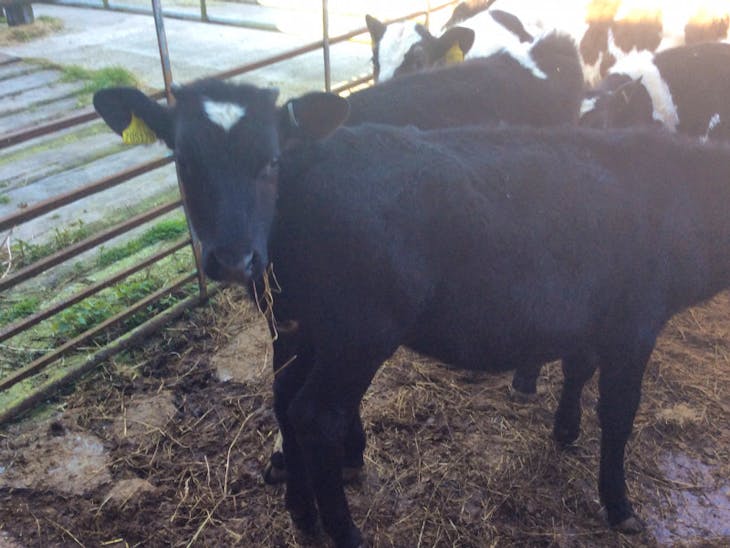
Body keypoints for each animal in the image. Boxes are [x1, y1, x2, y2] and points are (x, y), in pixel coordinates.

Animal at [94, 78, 730, 548]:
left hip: (302, 325)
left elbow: (577, 367)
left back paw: (304, 516)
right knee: (316, 415)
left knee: (285, 401)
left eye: (265, 160)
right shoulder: (636, 318)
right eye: (181, 161)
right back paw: (346, 533)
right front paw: (619, 504)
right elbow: (619, 414)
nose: (229, 257)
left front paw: (565, 430)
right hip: (359, 330)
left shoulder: (594, 312)